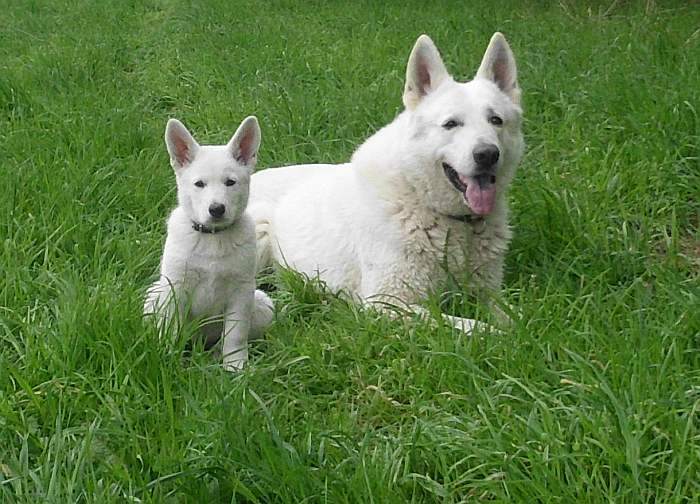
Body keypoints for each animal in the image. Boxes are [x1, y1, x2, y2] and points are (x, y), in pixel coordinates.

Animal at [145, 117, 274, 370]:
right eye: (199, 184)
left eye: (230, 182)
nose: (216, 209)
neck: (213, 238)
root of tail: (200, 343)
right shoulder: (176, 287)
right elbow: (171, 327)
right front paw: (168, 358)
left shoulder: (241, 290)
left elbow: (235, 334)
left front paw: (235, 367)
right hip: (154, 296)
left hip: (263, 305)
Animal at [249, 31, 524, 330]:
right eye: (451, 124)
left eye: (496, 120)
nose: (487, 154)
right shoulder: (387, 303)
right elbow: (466, 325)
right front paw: (497, 334)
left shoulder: (487, 292)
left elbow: (515, 313)